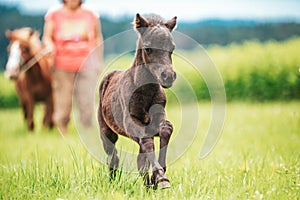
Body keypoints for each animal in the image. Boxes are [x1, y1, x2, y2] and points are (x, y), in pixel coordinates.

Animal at [98, 14, 177, 189]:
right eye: (147, 48)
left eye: (172, 48)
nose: (168, 76)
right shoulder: (130, 124)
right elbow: (146, 143)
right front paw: (161, 178)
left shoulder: (156, 121)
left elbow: (166, 129)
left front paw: (159, 175)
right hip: (106, 131)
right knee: (112, 156)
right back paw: (112, 184)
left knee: (141, 161)